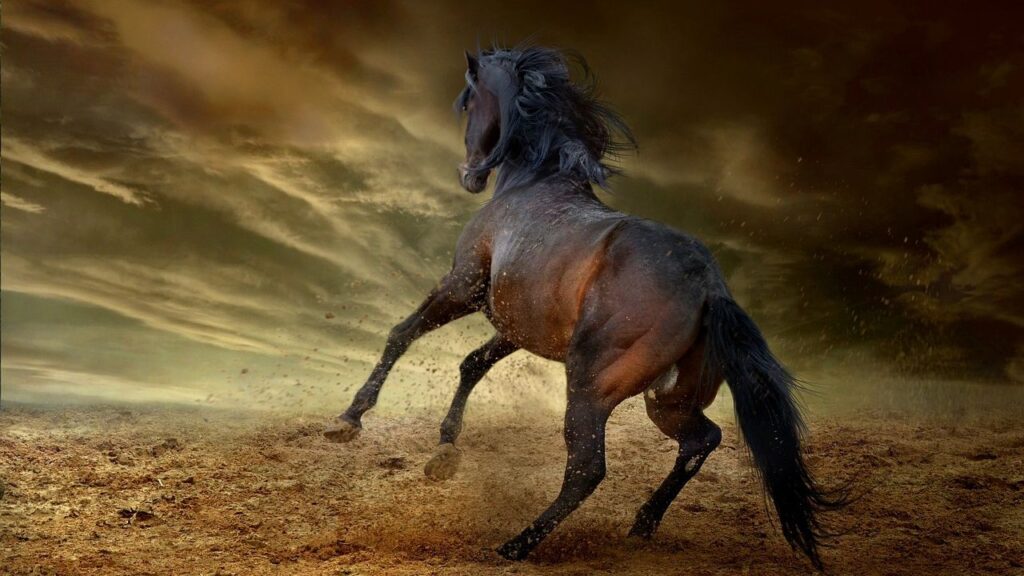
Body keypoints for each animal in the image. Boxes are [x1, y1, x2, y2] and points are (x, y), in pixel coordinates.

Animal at [325, 44, 843, 569]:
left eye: (469, 101)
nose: (469, 174)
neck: (534, 182)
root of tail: (709, 287)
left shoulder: (464, 285)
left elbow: (403, 333)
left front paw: (350, 420)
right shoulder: (517, 327)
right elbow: (472, 363)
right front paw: (444, 452)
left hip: (591, 386)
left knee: (588, 468)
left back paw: (515, 545)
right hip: (667, 400)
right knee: (701, 441)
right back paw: (641, 525)